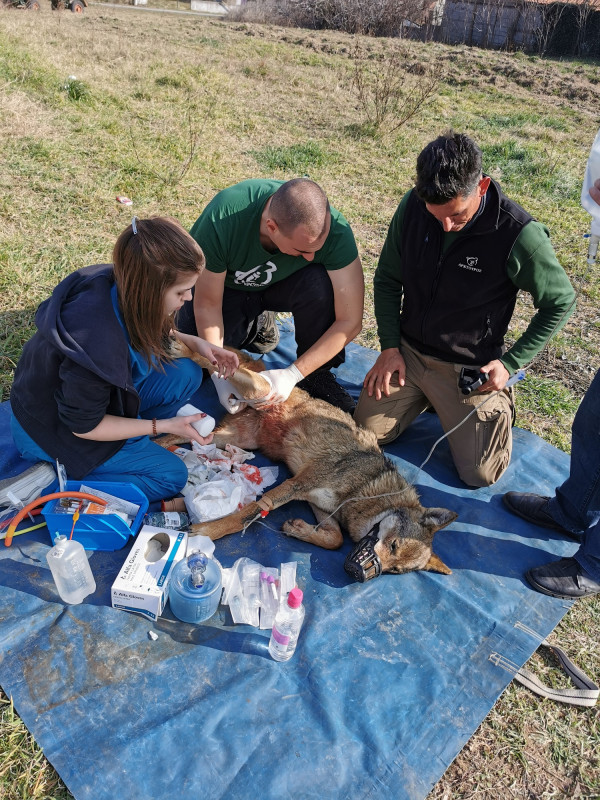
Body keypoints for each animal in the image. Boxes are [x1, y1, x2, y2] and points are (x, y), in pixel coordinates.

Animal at [164, 340, 454, 580]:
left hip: (223, 438)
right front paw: (207, 532)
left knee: (172, 437)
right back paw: (184, 348)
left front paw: (298, 529)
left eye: (394, 571)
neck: (365, 489)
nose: (358, 574)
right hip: (257, 388)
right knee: (218, 361)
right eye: (394, 545)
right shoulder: (296, 485)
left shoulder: (321, 505)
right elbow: (244, 517)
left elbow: (335, 540)